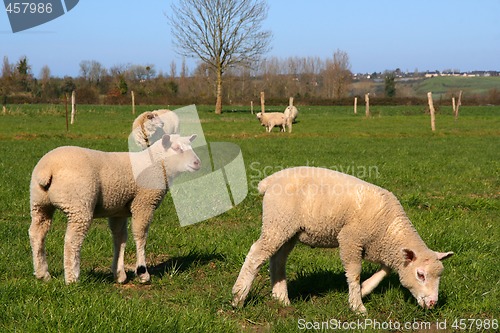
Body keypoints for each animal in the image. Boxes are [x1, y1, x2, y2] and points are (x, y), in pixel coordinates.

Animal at [29, 132, 200, 282]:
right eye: (177, 148)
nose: (198, 163)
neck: (157, 164)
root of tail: (47, 169)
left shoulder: (118, 210)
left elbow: (120, 238)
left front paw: (119, 274)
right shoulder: (143, 203)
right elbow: (140, 236)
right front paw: (142, 272)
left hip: (39, 204)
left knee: (37, 234)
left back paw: (43, 274)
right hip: (79, 204)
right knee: (72, 241)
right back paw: (72, 278)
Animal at [232, 167, 456, 312]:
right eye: (420, 275)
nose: (433, 304)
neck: (390, 227)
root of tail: (269, 181)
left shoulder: (381, 248)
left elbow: (385, 270)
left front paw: (364, 290)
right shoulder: (351, 239)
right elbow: (354, 273)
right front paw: (357, 306)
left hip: (288, 230)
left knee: (277, 259)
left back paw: (281, 299)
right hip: (278, 221)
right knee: (256, 253)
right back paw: (238, 296)